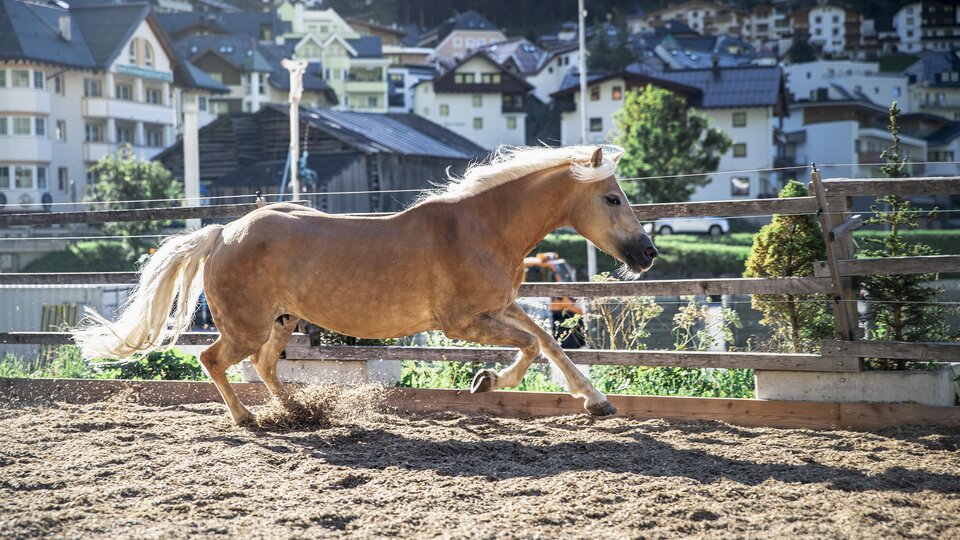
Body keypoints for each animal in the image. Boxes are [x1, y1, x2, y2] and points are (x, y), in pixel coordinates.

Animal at [74, 145, 658, 425]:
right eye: (612, 198)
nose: (648, 253)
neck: (480, 227)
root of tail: (223, 233)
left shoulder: (503, 305)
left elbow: (551, 343)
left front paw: (597, 403)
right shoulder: (463, 322)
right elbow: (532, 347)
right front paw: (487, 382)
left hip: (281, 321)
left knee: (262, 366)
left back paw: (296, 411)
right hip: (246, 325)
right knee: (213, 359)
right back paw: (249, 420)